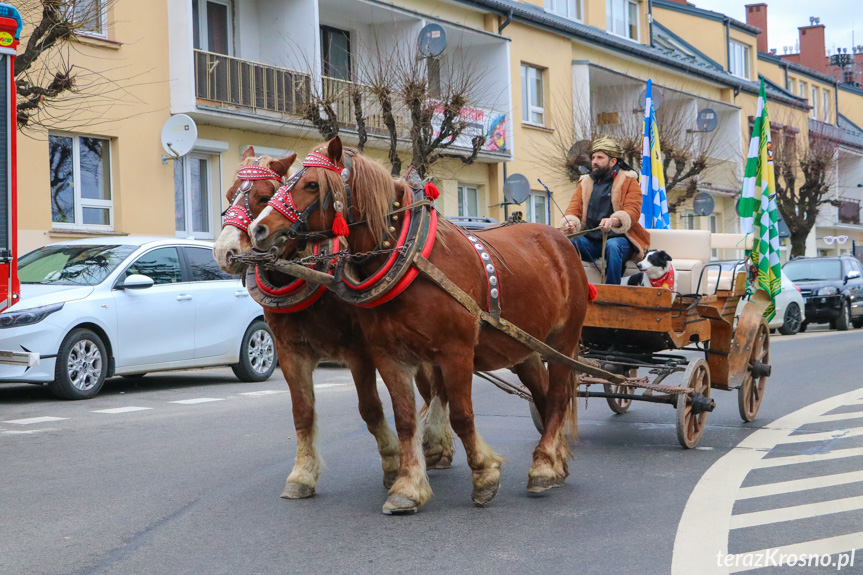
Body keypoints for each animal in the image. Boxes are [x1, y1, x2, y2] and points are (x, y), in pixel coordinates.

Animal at [213, 147, 456, 500]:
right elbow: (302, 413)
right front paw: (302, 475)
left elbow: (370, 409)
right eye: (230, 195)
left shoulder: (359, 351)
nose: (225, 252)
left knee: (435, 389)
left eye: (263, 197)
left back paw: (437, 445)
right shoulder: (290, 352)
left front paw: (393, 464)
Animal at [250, 138, 588, 512]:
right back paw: (556, 463)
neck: (410, 258)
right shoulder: (388, 356)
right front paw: (407, 487)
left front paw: (484, 476)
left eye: (311, 184)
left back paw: (543, 466)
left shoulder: (456, 354)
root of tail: (558, 239)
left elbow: (462, 416)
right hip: (526, 349)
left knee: (557, 399)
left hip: (563, 341)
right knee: (542, 397)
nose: (258, 230)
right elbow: (405, 419)